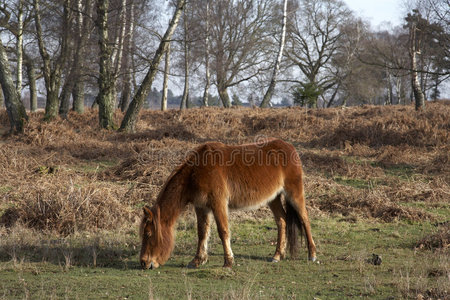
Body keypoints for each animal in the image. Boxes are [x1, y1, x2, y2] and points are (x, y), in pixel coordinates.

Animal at [141, 139, 316, 270]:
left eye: (148, 234)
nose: (144, 263)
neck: (197, 169)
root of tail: (289, 147)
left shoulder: (218, 204)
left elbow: (223, 231)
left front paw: (228, 261)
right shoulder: (201, 207)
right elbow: (202, 232)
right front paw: (198, 260)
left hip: (294, 193)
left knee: (304, 219)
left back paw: (312, 254)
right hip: (273, 198)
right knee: (282, 221)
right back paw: (278, 255)